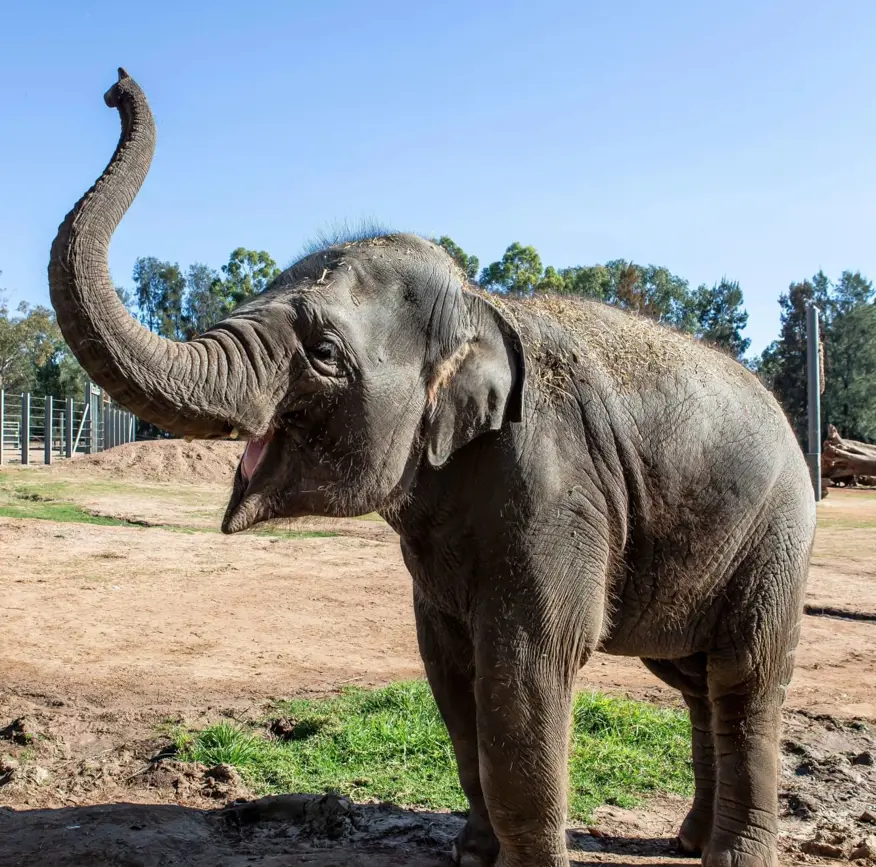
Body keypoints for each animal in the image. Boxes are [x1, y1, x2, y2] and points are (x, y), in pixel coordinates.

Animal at [49, 70, 816, 867]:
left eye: (324, 353)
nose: (115, 86)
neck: (482, 304)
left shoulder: (559, 490)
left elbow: (528, 670)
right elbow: (449, 669)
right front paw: (472, 855)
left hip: (776, 535)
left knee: (746, 677)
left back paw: (733, 853)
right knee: (691, 674)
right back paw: (689, 839)